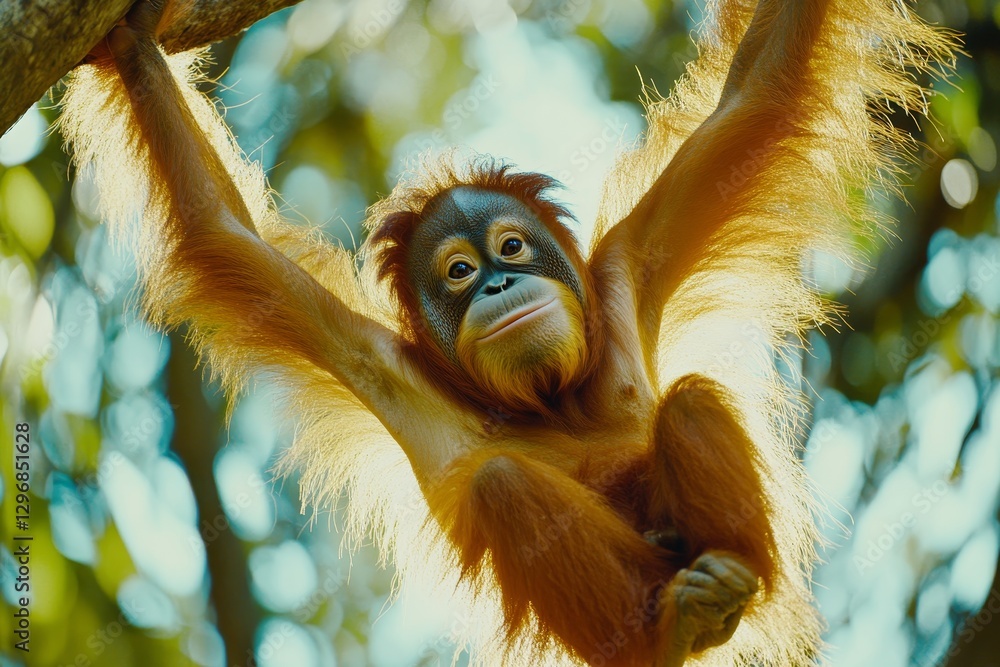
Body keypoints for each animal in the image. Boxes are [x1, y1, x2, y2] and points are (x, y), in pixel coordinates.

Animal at [59, 0, 956, 664]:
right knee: (502, 485)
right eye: (457, 271)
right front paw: (132, 41)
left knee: (693, 397)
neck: (551, 400)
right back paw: (672, 630)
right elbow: (223, 230)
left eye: (512, 246)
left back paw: (733, 588)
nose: (497, 282)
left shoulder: (625, 269)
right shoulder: (384, 364)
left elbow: (758, 89)